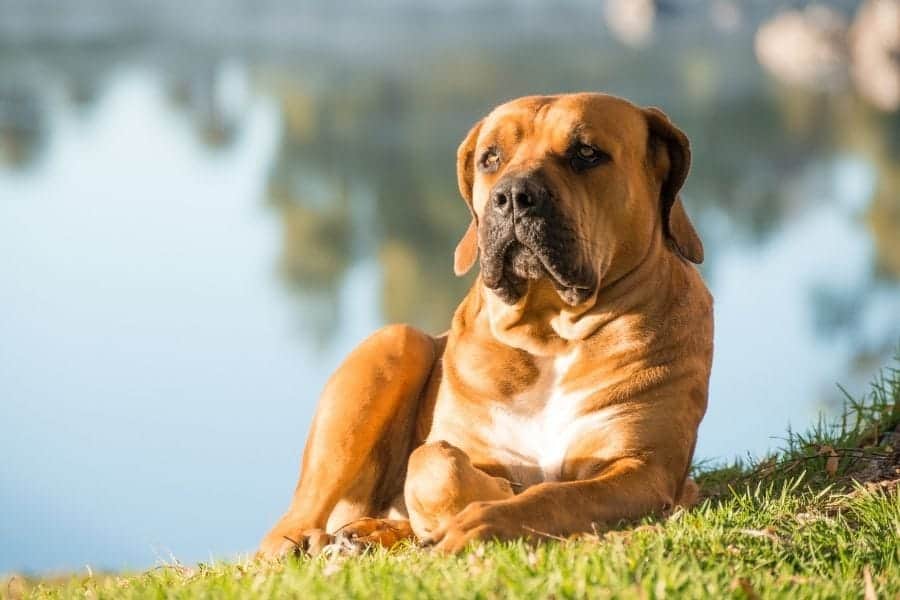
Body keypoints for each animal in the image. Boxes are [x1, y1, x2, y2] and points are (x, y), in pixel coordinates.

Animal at [256, 91, 712, 556]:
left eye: (586, 153)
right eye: (490, 158)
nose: (512, 195)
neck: (551, 334)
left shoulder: (644, 468)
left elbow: (557, 495)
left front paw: (487, 516)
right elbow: (433, 463)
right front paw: (491, 494)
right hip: (391, 345)